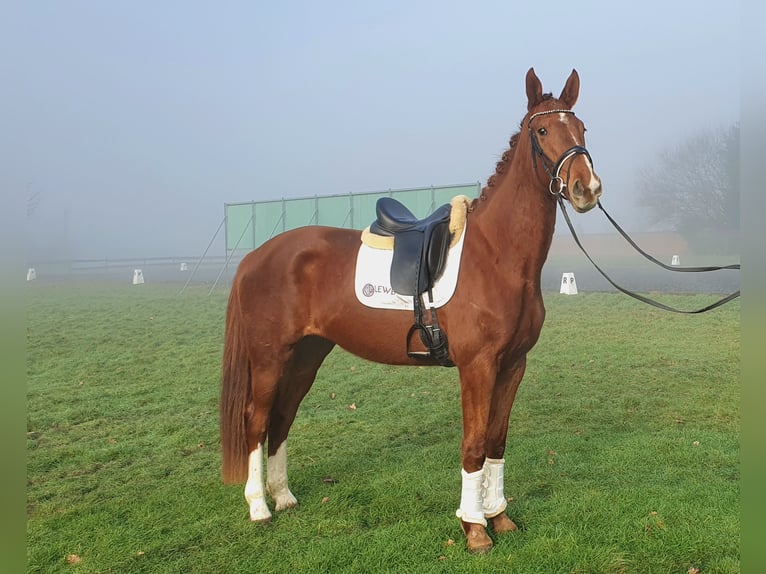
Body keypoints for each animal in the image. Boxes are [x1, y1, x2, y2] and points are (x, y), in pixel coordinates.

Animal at [219, 67, 604, 552]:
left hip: (306, 355)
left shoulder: (514, 365)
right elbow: (474, 445)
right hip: (270, 357)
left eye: (582, 128)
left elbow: (496, 443)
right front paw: (474, 529)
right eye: (542, 131)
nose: (587, 188)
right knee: (256, 420)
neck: (496, 254)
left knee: (282, 417)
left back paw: (284, 497)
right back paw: (259, 508)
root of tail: (256, 256)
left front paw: (499, 518)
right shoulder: (477, 366)